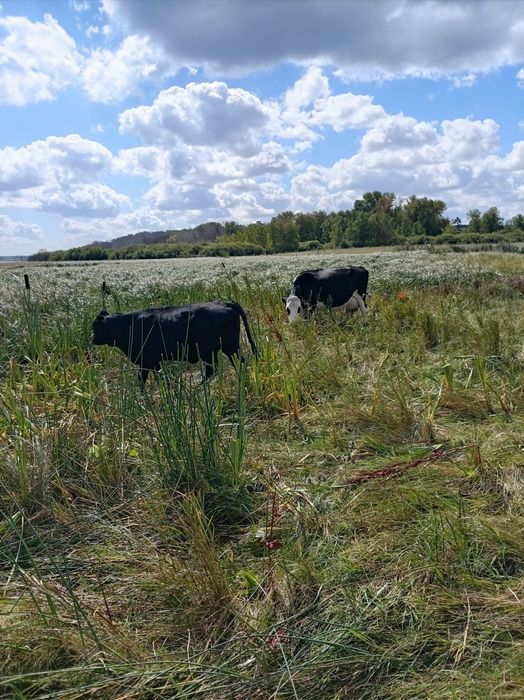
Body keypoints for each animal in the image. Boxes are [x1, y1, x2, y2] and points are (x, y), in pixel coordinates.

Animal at [92, 301, 257, 384]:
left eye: (95, 327)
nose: (91, 338)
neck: (127, 325)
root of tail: (226, 302)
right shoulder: (146, 362)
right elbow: (142, 380)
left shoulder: (150, 360)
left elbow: (159, 378)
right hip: (228, 349)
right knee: (239, 363)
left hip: (214, 350)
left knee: (213, 370)